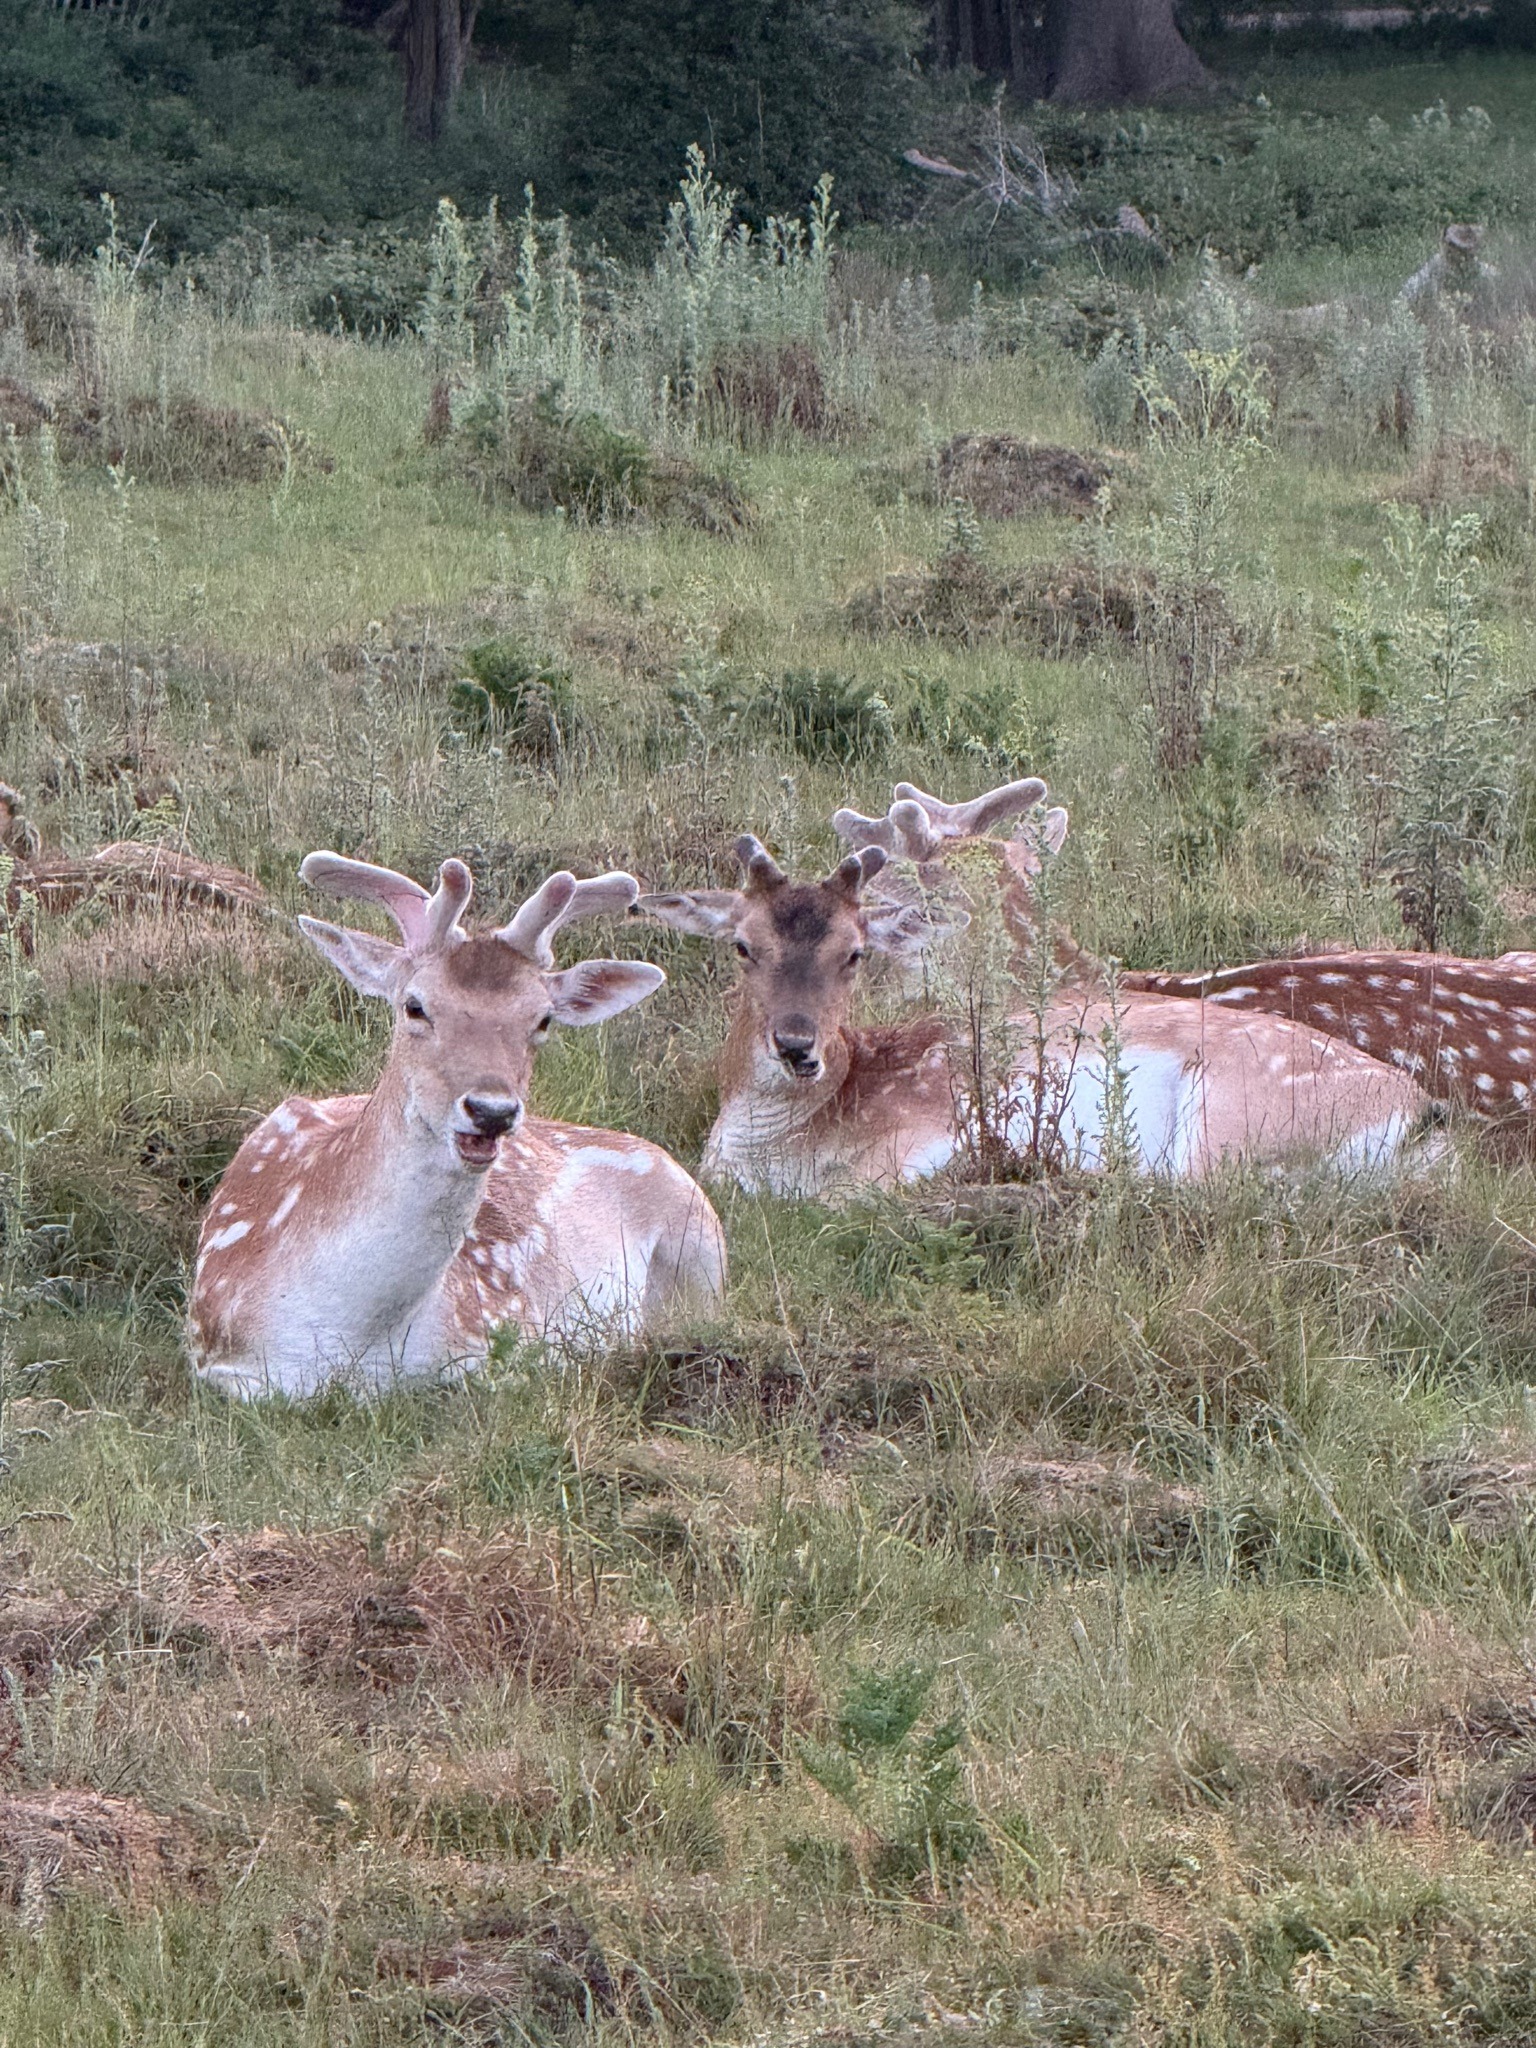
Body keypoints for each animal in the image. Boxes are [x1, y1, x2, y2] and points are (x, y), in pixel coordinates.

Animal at [191, 852, 726, 1399]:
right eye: (414, 1005)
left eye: (543, 1020)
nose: (492, 1110)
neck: (354, 1343)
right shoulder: (220, 1364)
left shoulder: (495, 1342)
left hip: (702, 1246)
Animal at [637, 788, 1434, 1200]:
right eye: (743, 946)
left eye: (854, 953)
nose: (798, 1046)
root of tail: (1419, 1112)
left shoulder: (924, 1131)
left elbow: (857, 1193)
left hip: (1235, 1114)